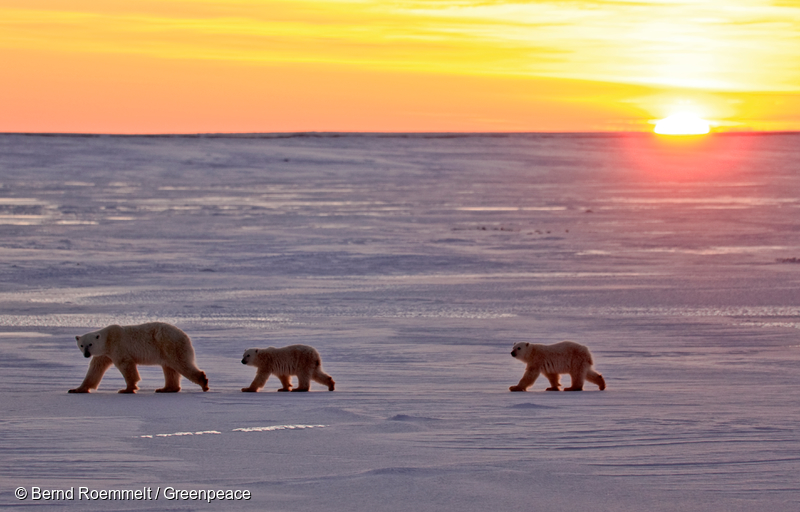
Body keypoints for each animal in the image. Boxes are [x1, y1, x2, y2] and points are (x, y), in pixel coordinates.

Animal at [67, 322, 209, 394]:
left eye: (90, 344)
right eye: (82, 345)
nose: (86, 354)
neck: (107, 339)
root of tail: (185, 336)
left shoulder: (118, 347)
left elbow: (126, 366)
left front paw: (127, 389)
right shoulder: (104, 354)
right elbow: (95, 369)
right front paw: (76, 389)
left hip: (169, 344)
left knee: (180, 364)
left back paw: (203, 382)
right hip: (167, 349)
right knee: (170, 369)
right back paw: (165, 389)